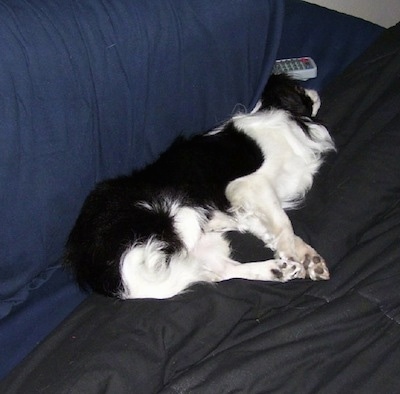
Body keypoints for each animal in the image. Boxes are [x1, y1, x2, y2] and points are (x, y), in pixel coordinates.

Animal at [65, 74, 334, 298]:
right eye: (298, 88)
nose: (315, 90)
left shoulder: (250, 204)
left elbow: (272, 228)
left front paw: (306, 257)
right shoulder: (248, 186)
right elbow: (283, 223)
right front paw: (292, 252)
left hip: (203, 244)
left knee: (220, 270)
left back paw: (276, 270)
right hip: (175, 213)